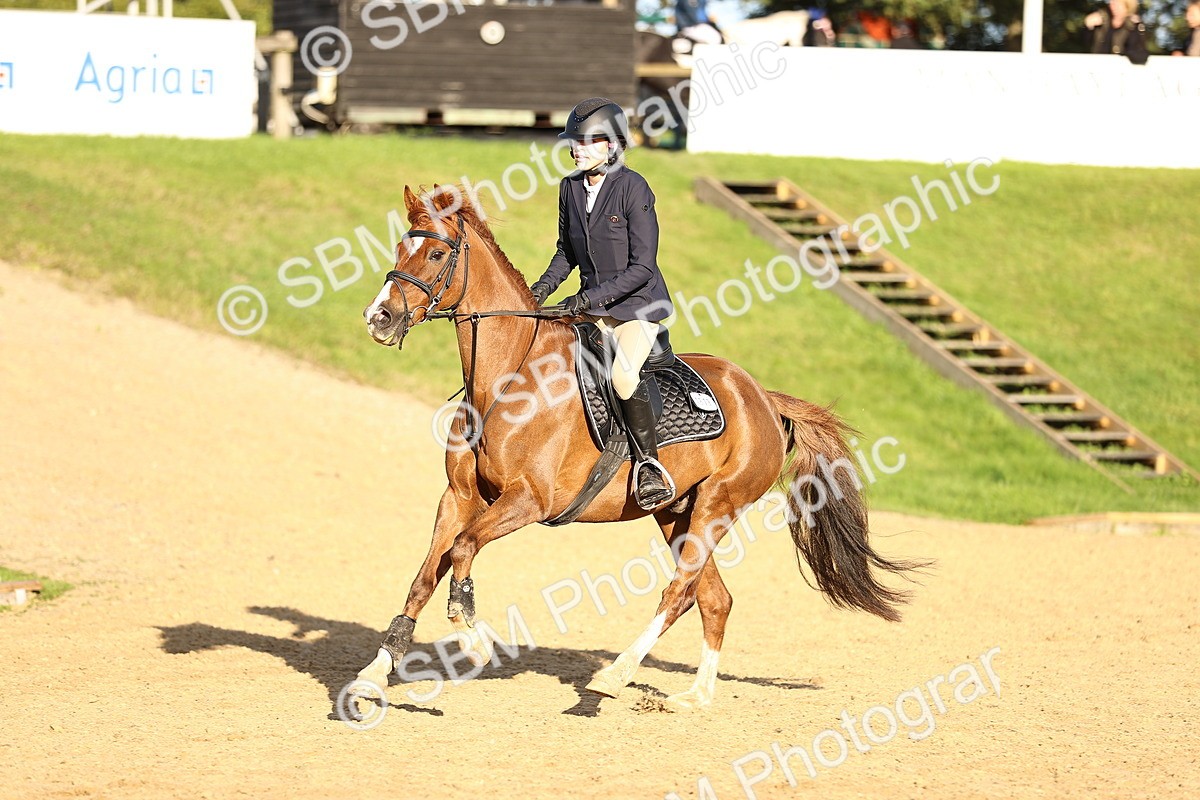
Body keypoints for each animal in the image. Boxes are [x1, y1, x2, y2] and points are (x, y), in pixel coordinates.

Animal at [356, 185, 922, 711]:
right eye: (401, 245)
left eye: (435, 253)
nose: (378, 318)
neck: (509, 380)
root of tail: (762, 396)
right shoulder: (458, 497)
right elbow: (425, 575)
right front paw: (372, 675)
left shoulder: (529, 500)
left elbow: (463, 548)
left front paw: (473, 640)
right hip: (677, 512)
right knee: (714, 598)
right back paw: (694, 697)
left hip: (719, 503)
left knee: (680, 592)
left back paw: (614, 675)